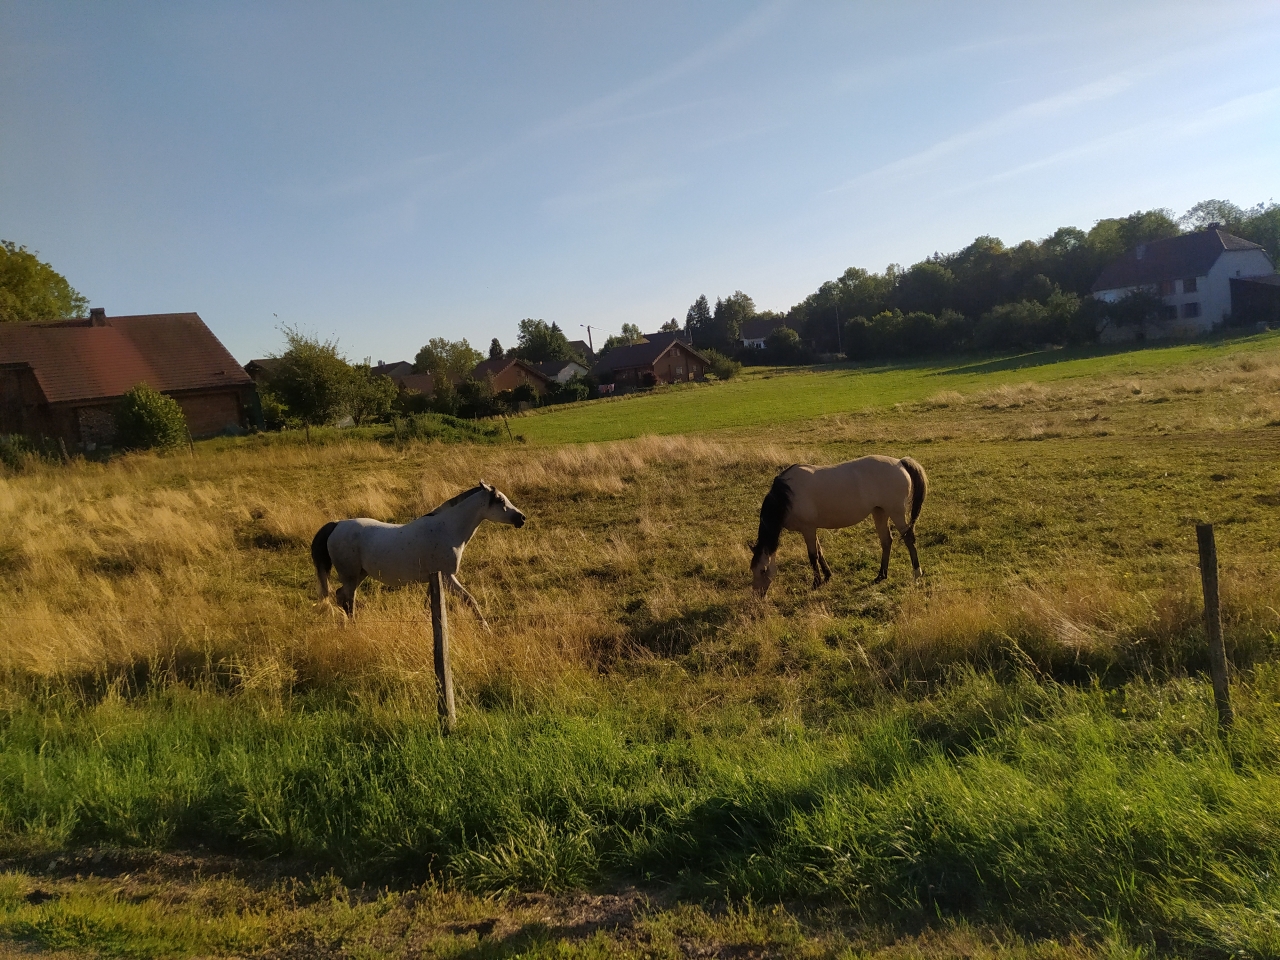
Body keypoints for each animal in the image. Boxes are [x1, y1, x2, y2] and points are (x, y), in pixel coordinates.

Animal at [310, 481, 526, 625]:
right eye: (499, 500)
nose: (522, 518)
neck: (446, 529)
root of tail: (337, 525)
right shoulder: (447, 577)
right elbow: (470, 600)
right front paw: (486, 628)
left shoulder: (435, 578)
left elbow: (429, 604)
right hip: (350, 575)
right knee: (347, 598)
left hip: (359, 575)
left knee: (342, 596)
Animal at [750, 456, 927, 597]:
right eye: (752, 569)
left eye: (763, 570)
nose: (758, 595)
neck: (786, 495)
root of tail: (900, 462)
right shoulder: (812, 529)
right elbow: (820, 551)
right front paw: (828, 576)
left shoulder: (808, 529)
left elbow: (813, 556)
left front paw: (816, 583)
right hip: (880, 512)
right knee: (886, 541)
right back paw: (881, 575)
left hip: (896, 512)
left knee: (909, 539)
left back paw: (917, 573)